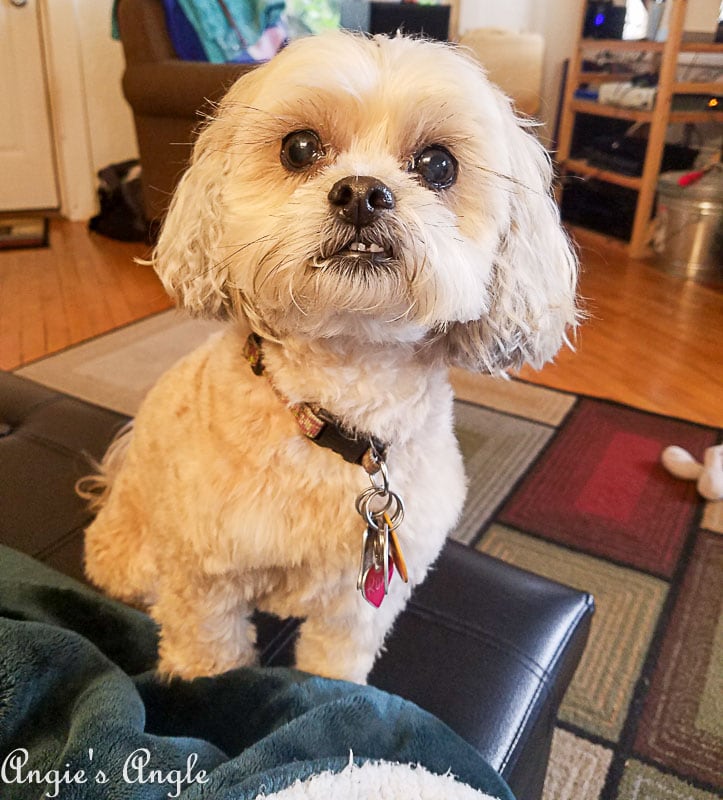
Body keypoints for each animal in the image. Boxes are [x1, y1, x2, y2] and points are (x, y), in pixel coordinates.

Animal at [82, 31, 580, 680]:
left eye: (439, 164)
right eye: (299, 148)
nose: (362, 193)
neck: (338, 409)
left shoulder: (362, 601)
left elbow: (335, 666)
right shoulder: (203, 580)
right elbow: (209, 655)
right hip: (132, 550)